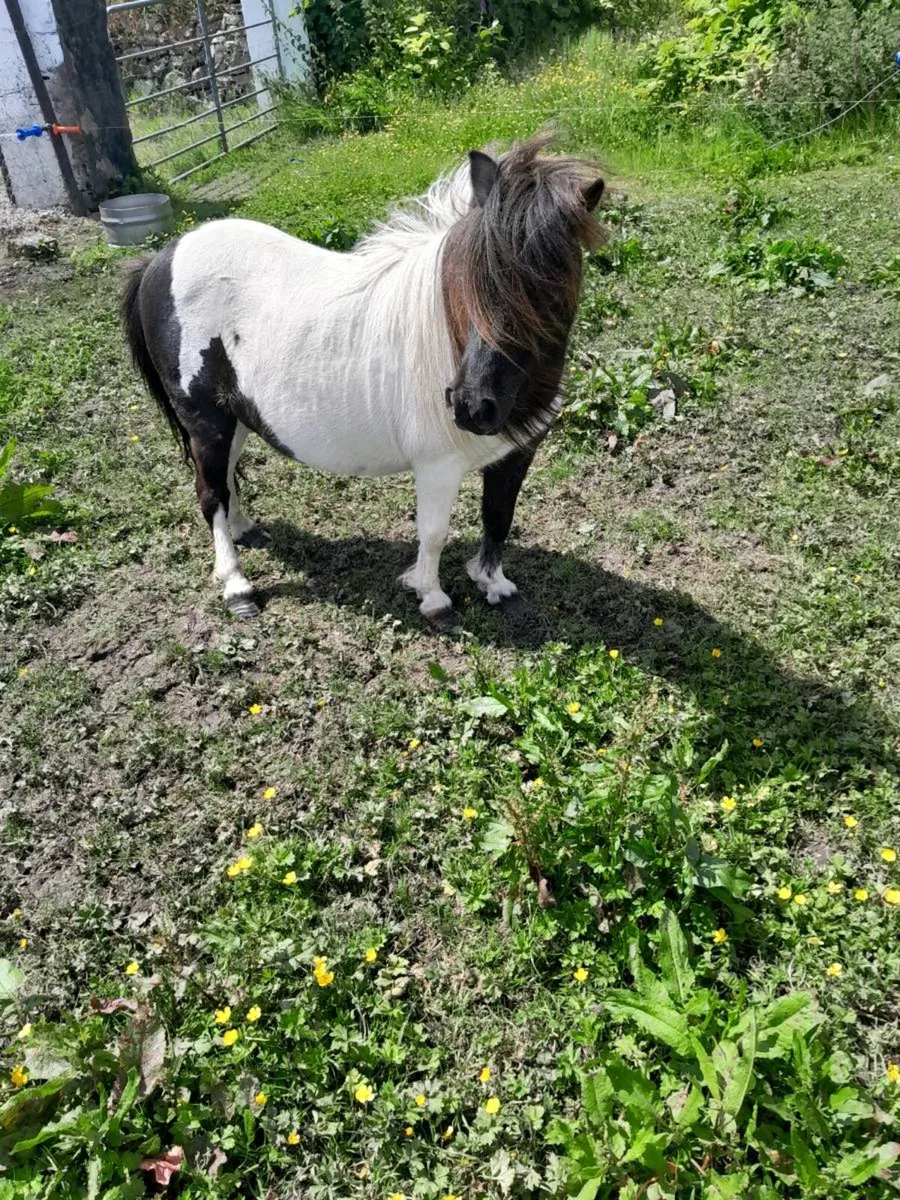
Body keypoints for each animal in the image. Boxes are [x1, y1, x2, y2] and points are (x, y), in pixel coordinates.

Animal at [120, 137, 604, 627]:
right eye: (468, 279)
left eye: (550, 289)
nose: (472, 406)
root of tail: (161, 258)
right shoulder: (437, 465)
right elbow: (433, 534)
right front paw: (433, 598)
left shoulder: (515, 453)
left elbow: (498, 519)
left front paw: (495, 586)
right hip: (206, 421)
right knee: (210, 493)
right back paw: (236, 586)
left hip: (234, 415)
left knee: (225, 479)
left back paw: (245, 531)